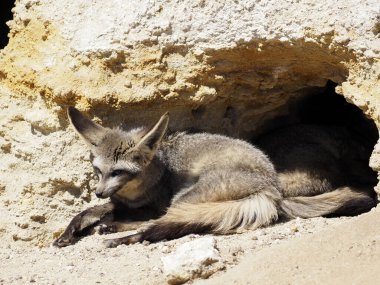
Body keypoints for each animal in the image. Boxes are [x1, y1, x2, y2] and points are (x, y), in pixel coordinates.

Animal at [53, 106, 378, 246]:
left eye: (119, 171)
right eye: (98, 170)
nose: (97, 190)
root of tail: (272, 187)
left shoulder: (154, 202)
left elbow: (130, 213)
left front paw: (109, 222)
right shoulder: (119, 200)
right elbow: (90, 210)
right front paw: (71, 229)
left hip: (184, 197)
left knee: (165, 222)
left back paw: (124, 234)